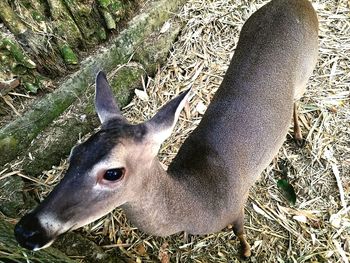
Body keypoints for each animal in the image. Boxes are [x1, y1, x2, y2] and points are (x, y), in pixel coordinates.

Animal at [14, 0, 318, 258]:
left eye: (113, 172)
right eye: (74, 152)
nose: (26, 230)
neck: (199, 200)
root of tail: (300, 4)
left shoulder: (236, 205)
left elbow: (240, 231)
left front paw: (245, 252)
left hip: (307, 68)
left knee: (297, 100)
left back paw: (299, 136)